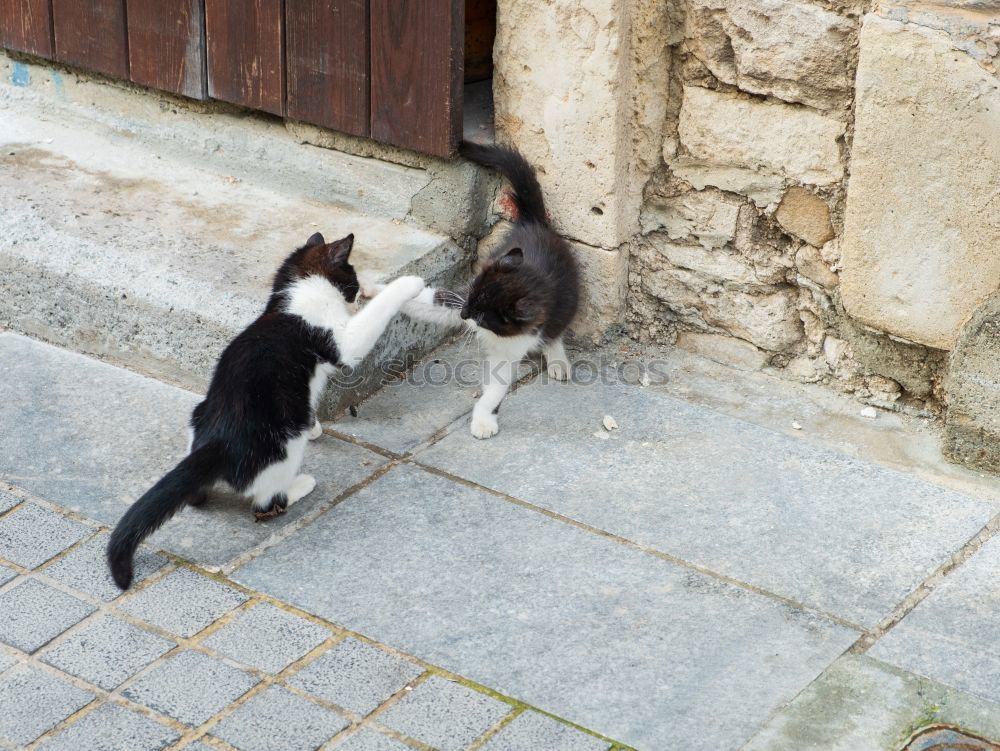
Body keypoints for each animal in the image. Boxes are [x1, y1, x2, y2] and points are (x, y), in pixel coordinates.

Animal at [108, 232, 422, 592]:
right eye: (352, 279)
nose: (357, 295)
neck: (292, 299)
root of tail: (217, 443)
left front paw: (317, 425)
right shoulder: (340, 341)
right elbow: (364, 330)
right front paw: (408, 284)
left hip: (199, 414)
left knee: (197, 494)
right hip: (286, 439)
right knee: (267, 502)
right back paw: (300, 485)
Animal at [372, 145, 584, 440]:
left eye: (484, 316)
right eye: (472, 298)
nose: (463, 315)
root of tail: (536, 224)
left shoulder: (517, 340)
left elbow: (496, 388)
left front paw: (483, 421)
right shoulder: (459, 297)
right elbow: (431, 301)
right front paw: (374, 290)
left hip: (568, 299)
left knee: (556, 329)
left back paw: (557, 361)